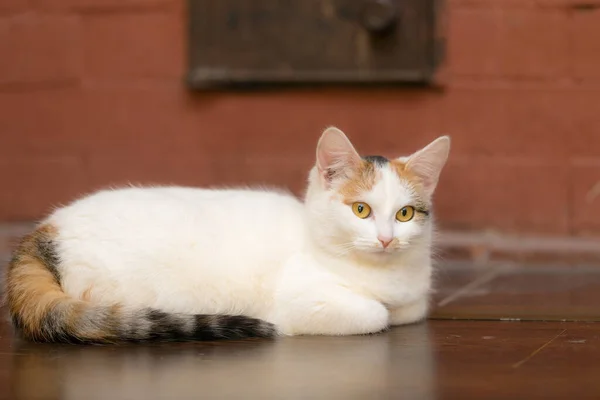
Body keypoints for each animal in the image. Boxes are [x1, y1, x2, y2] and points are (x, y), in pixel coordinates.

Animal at [4, 128, 450, 344]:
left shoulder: (412, 300)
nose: (387, 239)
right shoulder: (302, 299)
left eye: (405, 214)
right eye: (361, 210)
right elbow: (377, 315)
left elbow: (408, 310)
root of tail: (45, 231)